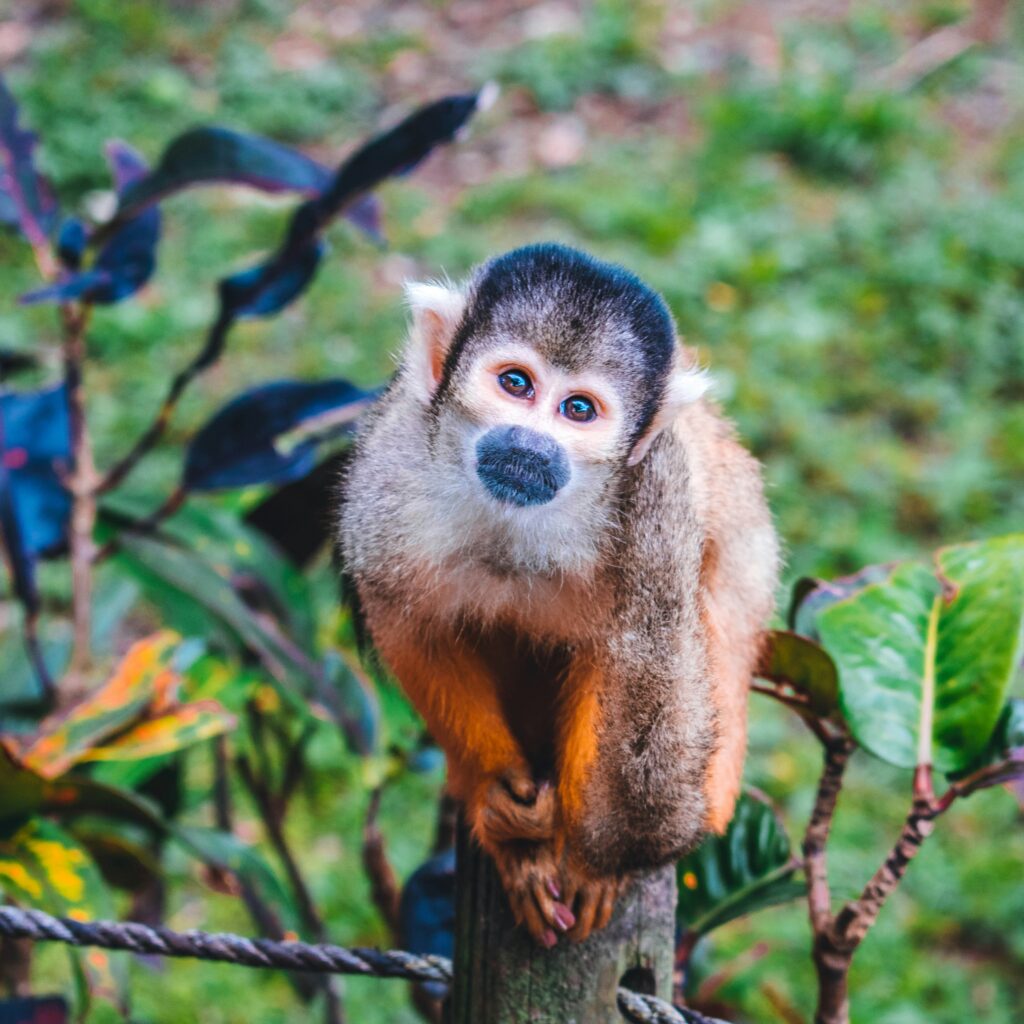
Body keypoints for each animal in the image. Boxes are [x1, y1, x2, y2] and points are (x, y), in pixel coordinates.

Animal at [338, 243, 779, 947]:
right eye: (516, 384)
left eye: (578, 410)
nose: (529, 444)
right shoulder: (387, 470)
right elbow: (408, 623)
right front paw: (497, 790)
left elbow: (620, 660)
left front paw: (588, 863)